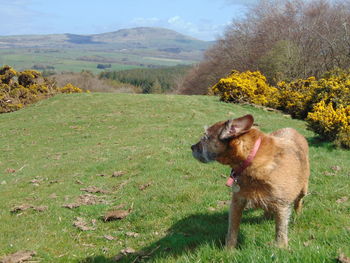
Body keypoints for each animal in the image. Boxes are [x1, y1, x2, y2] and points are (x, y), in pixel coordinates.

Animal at [191, 114, 308, 249]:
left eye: (205, 137)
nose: (192, 147)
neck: (252, 158)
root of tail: (292, 130)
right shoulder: (237, 202)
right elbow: (232, 230)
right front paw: (229, 249)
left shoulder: (282, 206)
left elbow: (280, 230)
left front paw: (280, 247)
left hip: (303, 189)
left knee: (298, 202)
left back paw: (297, 216)